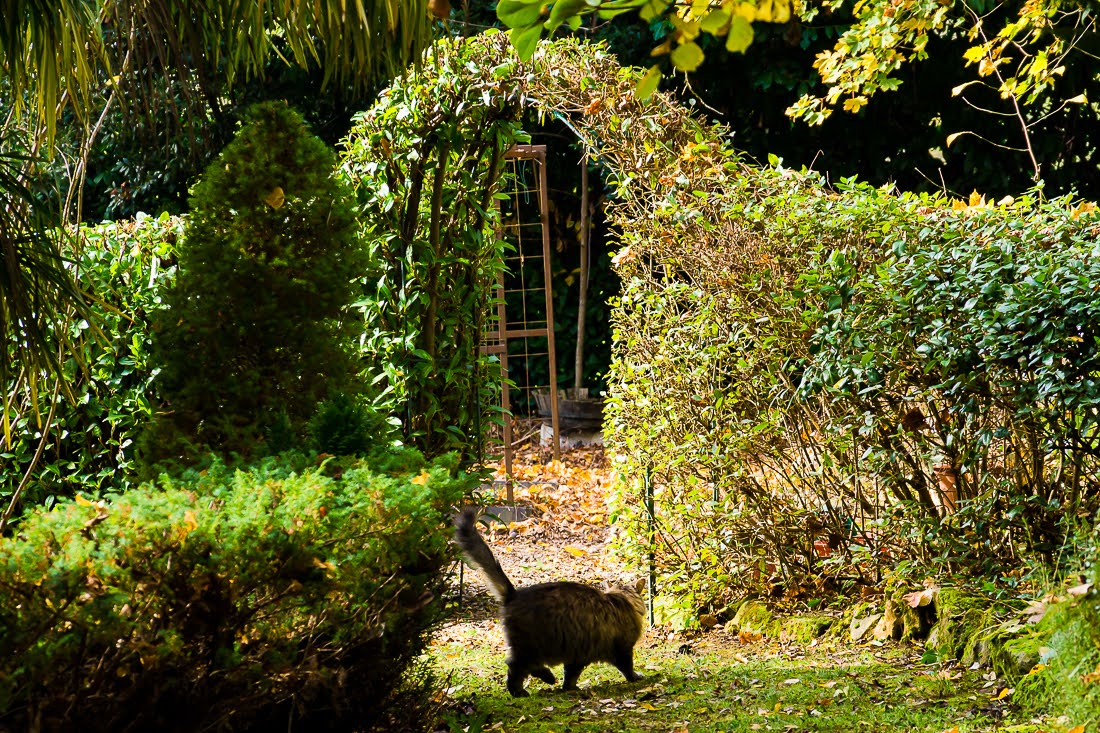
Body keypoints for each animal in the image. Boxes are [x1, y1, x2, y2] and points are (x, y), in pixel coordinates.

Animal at [453, 506, 646, 695]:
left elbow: (571, 675)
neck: (623, 598)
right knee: (515, 667)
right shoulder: (622, 649)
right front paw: (635, 677)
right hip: (530, 646)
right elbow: (627, 668)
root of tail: (514, 594)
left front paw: (569, 688)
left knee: (525, 666)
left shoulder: (578, 654)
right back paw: (523, 690)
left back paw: (548, 678)